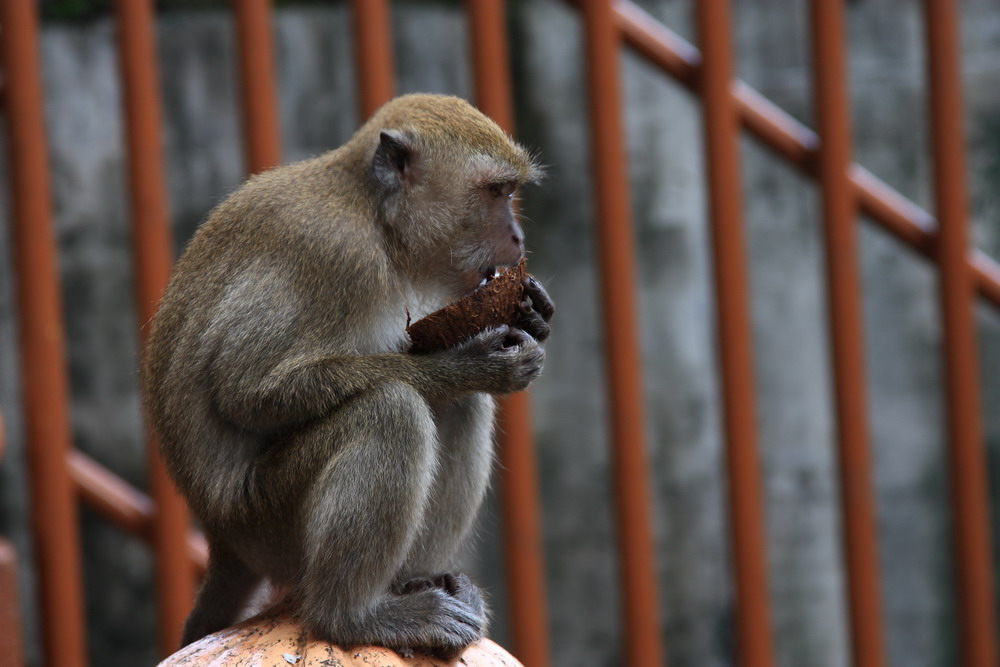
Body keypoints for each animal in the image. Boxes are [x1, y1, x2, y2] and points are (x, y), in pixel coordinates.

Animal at [143, 92, 556, 656]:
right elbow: (246, 390)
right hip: (265, 521)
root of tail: (221, 539)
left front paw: (534, 312)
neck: (380, 225)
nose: (517, 236)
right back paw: (351, 616)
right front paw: (465, 365)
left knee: (460, 407)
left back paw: (419, 582)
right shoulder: (335, 253)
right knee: (390, 409)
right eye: (497, 191)